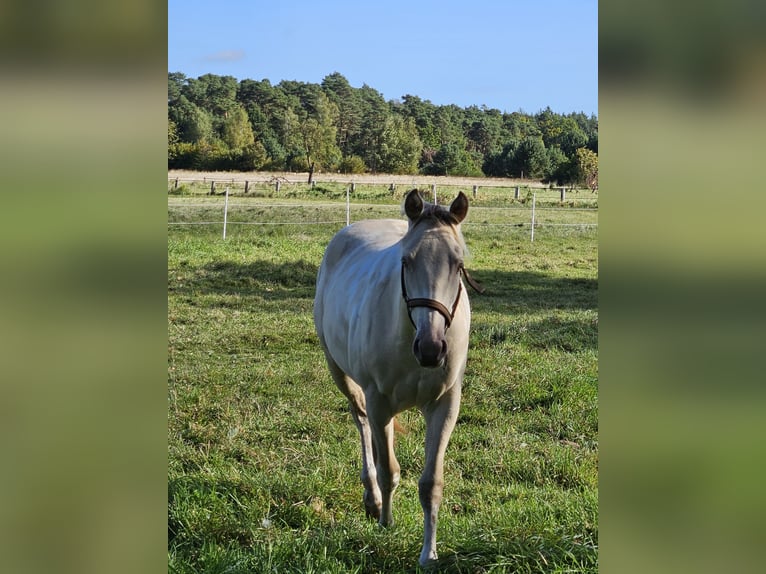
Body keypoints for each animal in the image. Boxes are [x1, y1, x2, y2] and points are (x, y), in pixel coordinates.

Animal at [314, 189, 478, 566]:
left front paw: (429, 553)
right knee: (361, 423)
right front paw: (386, 521)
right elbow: (388, 469)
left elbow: (431, 483)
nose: (431, 349)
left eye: (458, 264)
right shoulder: (379, 400)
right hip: (341, 375)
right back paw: (372, 498)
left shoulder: (445, 405)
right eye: (406, 261)